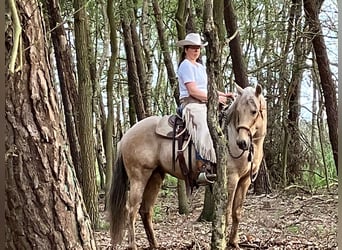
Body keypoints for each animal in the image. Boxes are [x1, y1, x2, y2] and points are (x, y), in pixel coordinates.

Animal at [107, 84, 268, 248]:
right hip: (139, 178)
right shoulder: (231, 178)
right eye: (238, 112)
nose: (242, 143)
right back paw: (133, 245)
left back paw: (154, 244)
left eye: (253, 111)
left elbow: (237, 212)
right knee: (131, 210)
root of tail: (126, 136)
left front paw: (234, 242)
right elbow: (227, 212)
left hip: (155, 177)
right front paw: (224, 243)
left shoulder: (244, 180)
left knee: (145, 210)